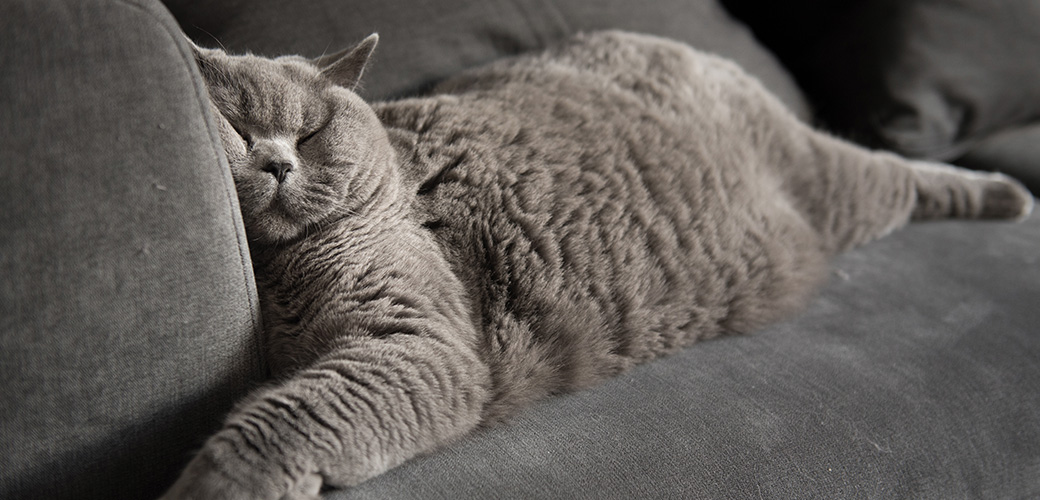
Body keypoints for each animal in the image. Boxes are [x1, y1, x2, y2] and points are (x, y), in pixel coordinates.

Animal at [162, 32, 1031, 498]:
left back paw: (1008, 195)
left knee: (901, 172)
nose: (277, 164)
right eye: (236, 130)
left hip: (833, 189)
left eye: (310, 132)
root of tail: (670, 41)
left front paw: (211, 484)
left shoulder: (422, 344)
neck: (282, 274)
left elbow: (286, 417)